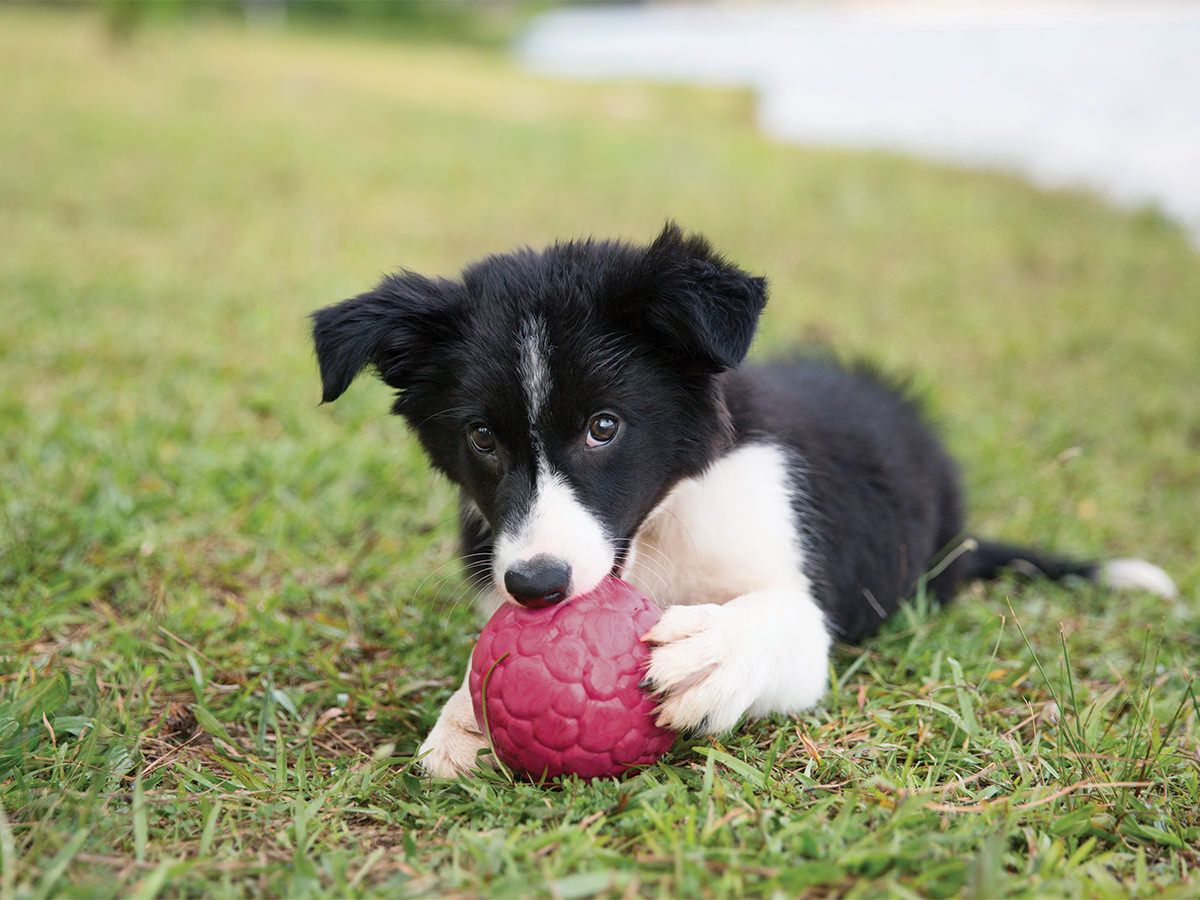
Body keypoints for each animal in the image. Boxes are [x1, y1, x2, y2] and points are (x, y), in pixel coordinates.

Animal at [312, 222, 1180, 777]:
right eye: (483, 438)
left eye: (603, 427)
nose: (537, 585)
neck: (658, 531)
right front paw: (465, 714)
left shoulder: (791, 576)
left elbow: (784, 621)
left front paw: (717, 650)